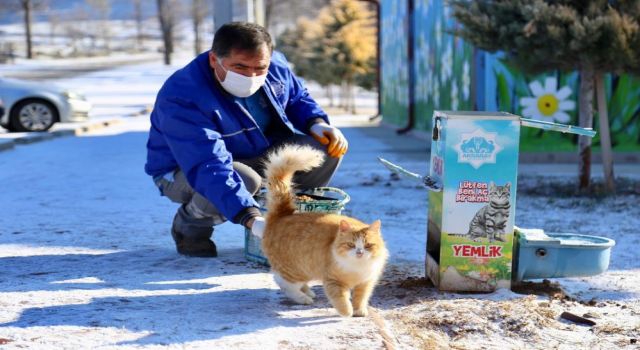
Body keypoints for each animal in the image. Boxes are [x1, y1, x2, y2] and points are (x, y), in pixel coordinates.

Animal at [262, 145, 390, 318]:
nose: (360, 252)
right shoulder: (333, 281)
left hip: (304, 269)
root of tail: (282, 215)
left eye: (368, 245)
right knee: (282, 282)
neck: (357, 267)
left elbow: (360, 297)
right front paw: (347, 312)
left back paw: (308, 292)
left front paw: (359, 311)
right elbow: (341, 300)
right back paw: (303, 298)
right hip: (294, 269)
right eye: (351, 245)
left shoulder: (365, 282)